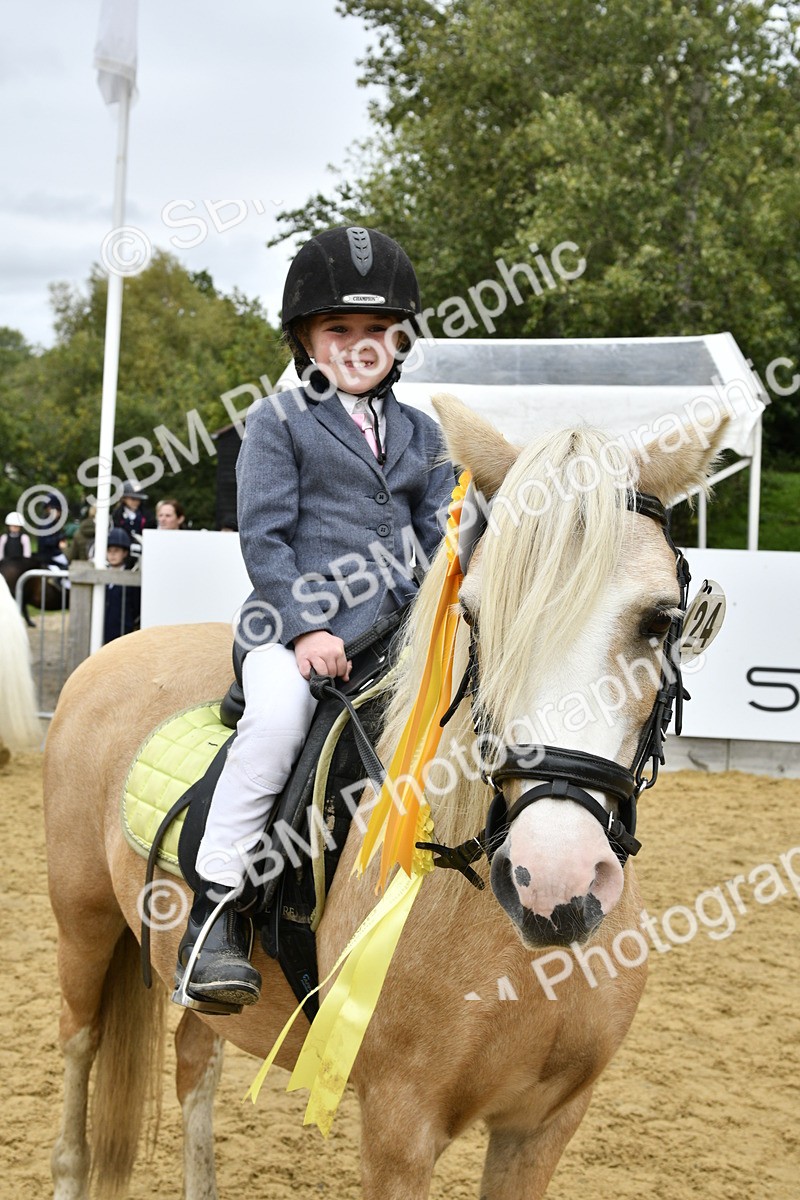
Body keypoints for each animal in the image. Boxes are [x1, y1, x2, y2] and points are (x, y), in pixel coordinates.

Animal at [42, 393, 726, 1200]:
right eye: (475, 616)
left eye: (659, 619)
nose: (552, 881)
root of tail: (111, 653)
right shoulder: (399, 1126)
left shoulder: (544, 1125)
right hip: (83, 923)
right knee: (80, 1050)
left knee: (193, 1063)